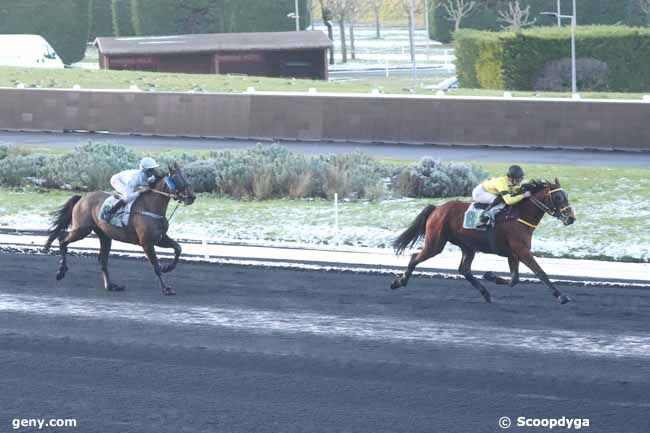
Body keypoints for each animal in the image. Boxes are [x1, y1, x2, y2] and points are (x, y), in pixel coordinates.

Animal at [43, 164, 195, 296]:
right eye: (177, 177)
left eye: (186, 176)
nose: (192, 197)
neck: (151, 206)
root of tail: (82, 198)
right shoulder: (146, 242)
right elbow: (156, 265)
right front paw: (166, 288)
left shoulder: (159, 238)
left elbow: (178, 248)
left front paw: (168, 268)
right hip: (81, 229)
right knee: (62, 239)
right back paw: (61, 271)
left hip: (104, 236)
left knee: (103, 260)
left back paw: (111, 286)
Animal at [390, 179, 572, 304]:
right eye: (558, 197)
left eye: (566, 196)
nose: (571, 218)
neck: (520, 216)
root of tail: (437, 208)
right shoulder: (521, 250)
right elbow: (540, 272)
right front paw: (561, 296)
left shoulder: (513, 253)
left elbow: (515, 279)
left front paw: (491, 276)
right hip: (435, 243)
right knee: (415, 257)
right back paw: (399, 282)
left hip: (467, 246)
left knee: (464, 270)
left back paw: (486, 293)